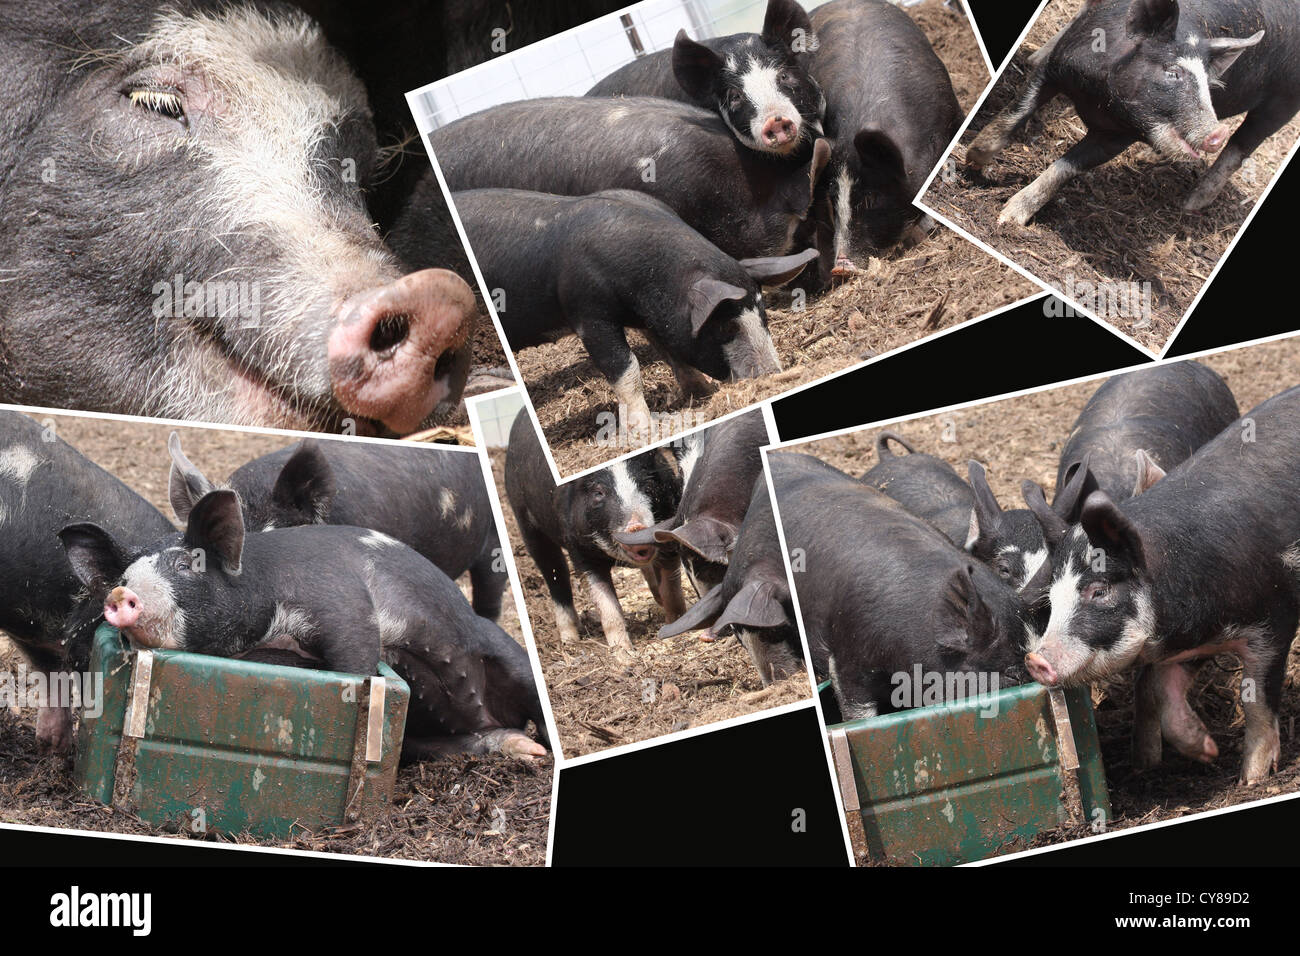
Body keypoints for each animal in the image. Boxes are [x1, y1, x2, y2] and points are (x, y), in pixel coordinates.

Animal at [60, 488, 548, 761]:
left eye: (185, 565)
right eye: (124, 578)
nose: (119, 595)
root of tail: (489, 716)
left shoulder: (343, 603)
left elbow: (356, 659)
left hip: (500, 649)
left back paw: (541, 753)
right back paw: (523, 750)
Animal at [446, 189, 815, 440]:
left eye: (764, 316)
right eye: (725, 327)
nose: (771, 375)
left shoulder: (653, 317)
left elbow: (670, 352)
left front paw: (703, 391)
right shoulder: (588, 314)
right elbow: (626, 366)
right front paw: (646, 428)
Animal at [504, 410, 683, 658]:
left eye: (648, 485)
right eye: (599, 493)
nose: (636, 527)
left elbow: (670, 586)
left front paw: (675, 622)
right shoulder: (580, 552)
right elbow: (607, 607)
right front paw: (624, 657)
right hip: (526, 520)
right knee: (555, 573)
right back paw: (570, 640)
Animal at [966, 0, 1300, 223]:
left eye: (1208, 84)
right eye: (1173, 72)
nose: (1217, 131)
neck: (1098, 96)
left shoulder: (1120, 136)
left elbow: (1066, 168)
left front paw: (1008, 219)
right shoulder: (1056, 70)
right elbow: (1015, 113)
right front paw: (973, 161)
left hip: (1282, 105)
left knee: (1241, 148)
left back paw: (1189, 204)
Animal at [1023, 385, 1300, 784]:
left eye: (1099, 590)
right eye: (1052, 597)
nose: (1034, 659)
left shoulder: (1276, 620)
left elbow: (1257, 702)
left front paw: (1252, 778)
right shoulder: (1191, 639)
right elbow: (1160, 690)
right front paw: (1205, 751)